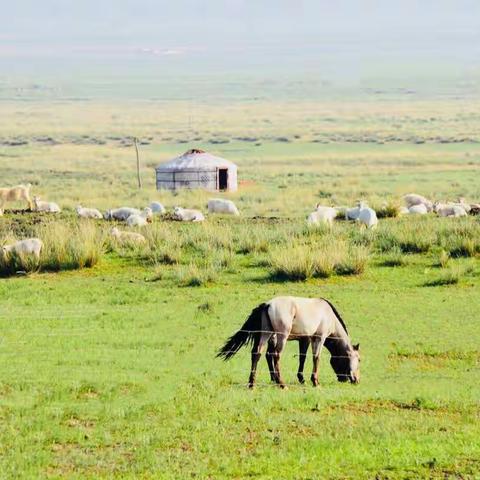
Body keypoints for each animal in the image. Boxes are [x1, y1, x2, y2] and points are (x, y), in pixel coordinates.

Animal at [218, 298, 360, 388]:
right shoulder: (318, 338)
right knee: (275, 355)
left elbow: (303, 358)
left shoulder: (305, 339)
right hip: (281, 337)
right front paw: (315, 381)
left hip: (266, 334)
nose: (356, 380)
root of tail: (268, 304)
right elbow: (316, 358)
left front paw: (302, 379)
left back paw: (252, 383)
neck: (328, 315)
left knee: (257, 353)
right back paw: (281, 383)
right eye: (359, 359)